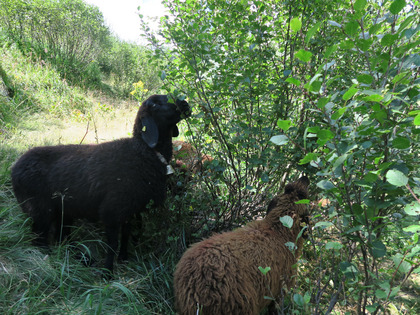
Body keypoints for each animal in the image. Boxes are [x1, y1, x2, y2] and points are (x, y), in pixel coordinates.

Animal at [11, 94, 192, 276]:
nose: (184, 104)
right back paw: (49, 261)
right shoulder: (111, 210)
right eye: (154, 105)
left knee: (61, 237)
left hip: (63, 210)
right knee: (39, 239)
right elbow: (112, 244)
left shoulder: (129, 210)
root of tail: (15, 167)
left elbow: (125, 235)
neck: (143, 153)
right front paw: (107, 273)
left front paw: (123, 258)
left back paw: (79, 258)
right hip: (40, 209)